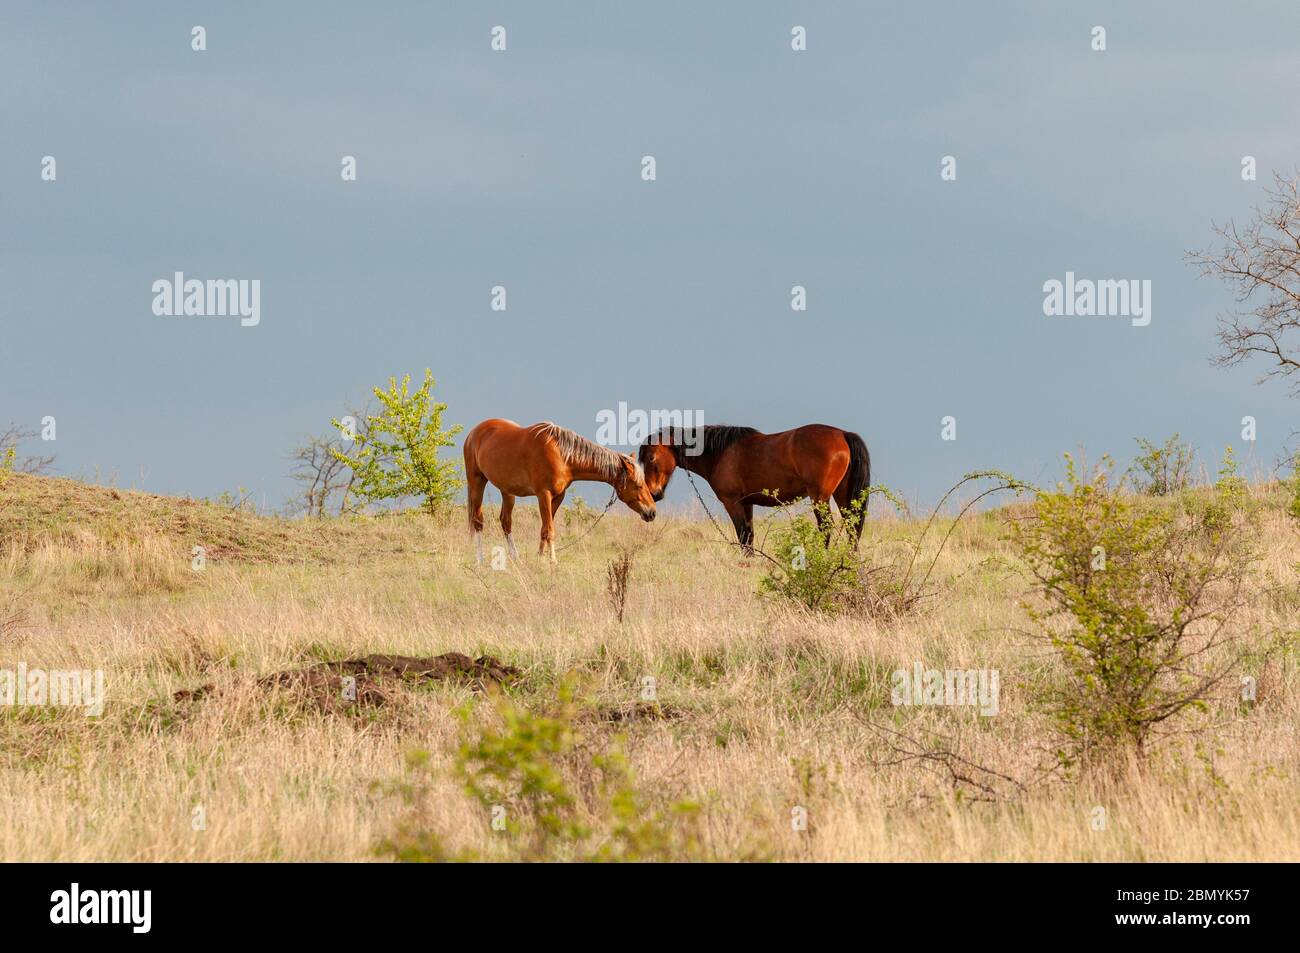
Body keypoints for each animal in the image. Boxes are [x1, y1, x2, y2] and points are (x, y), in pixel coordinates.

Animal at [463, 419, 656, 562]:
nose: (652, 512)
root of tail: (474, 433)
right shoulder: (543, 495)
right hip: (477, 482)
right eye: (638, 485)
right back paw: (479, 559)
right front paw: (553, 562)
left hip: (507, 490)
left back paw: (515, 558)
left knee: (506, 522)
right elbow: (549, 530)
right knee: (478, 521)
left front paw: (541, 559)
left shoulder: (558, 497)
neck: (561, 454)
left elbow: (544, 529)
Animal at [637, 424, 870, 550]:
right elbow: (749, 537)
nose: (653, 494)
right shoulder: (747, 504)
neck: (720, 453)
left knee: (827, 529)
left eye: (651, 457)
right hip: (842, 496)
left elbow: (742, 537)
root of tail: (842, 434)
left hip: (820, 497)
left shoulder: (733, 503)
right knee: (852, 528)